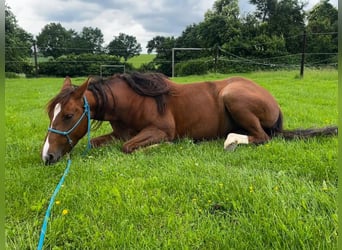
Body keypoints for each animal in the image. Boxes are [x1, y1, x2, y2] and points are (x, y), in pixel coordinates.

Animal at [41, 71, 338, 165]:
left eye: (68, 115)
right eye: (52, 114)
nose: (47, 157)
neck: (133, 100)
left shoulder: (159, 131)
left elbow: (128, 148)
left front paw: (165, 147)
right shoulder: (119, 133)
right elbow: (98, 142)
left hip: (234, 96)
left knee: (262, 137)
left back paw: (230, 141)